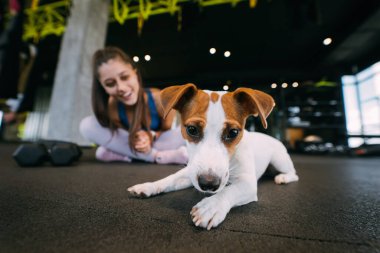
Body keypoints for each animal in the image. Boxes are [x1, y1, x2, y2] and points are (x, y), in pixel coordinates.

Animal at [128, 84, 300, 230]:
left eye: (233, 132)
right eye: (191, 129)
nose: (208, 183)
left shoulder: (248, 184)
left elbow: (229, 191)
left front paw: (211, 207)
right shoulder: (191, 172)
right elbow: (170, 179)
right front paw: (149, 186)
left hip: (279, 160)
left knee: (294, 174)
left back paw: (283, 178)